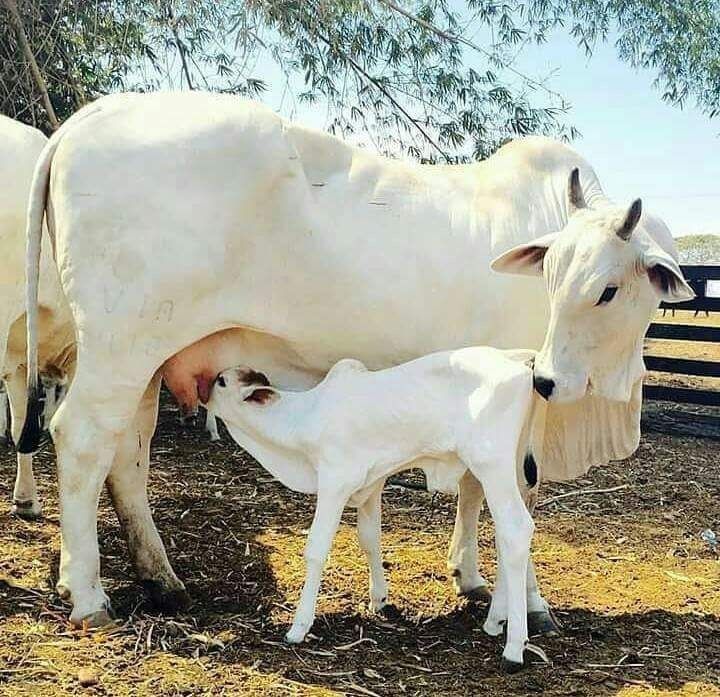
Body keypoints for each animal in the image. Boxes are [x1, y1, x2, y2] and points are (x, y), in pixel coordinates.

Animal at [18, 91, 693, 628]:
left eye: (608, 288)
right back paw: (88, 596)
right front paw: (530, 604)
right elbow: (515, 494)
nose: (552, 377)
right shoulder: (524, 403)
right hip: (120, 349)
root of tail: (86, 118)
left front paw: (471, 576)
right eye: (552, 274)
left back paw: (160, 578)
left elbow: (473, 490)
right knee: (81, 440)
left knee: (127, 456)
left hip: (142, 360)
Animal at [208, 350, 542, 671]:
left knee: (516, 528)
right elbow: (370, 538)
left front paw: (298, 627)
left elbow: (316, 549)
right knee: (506, 535)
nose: (203, 390)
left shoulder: (335, 481)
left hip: (491, 464)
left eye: (221, 382)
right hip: (509, 468)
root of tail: (523, 368)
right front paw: (379, 599)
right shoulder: (372, 483)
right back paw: (495, 621)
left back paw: (514, 649)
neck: (305, 417)